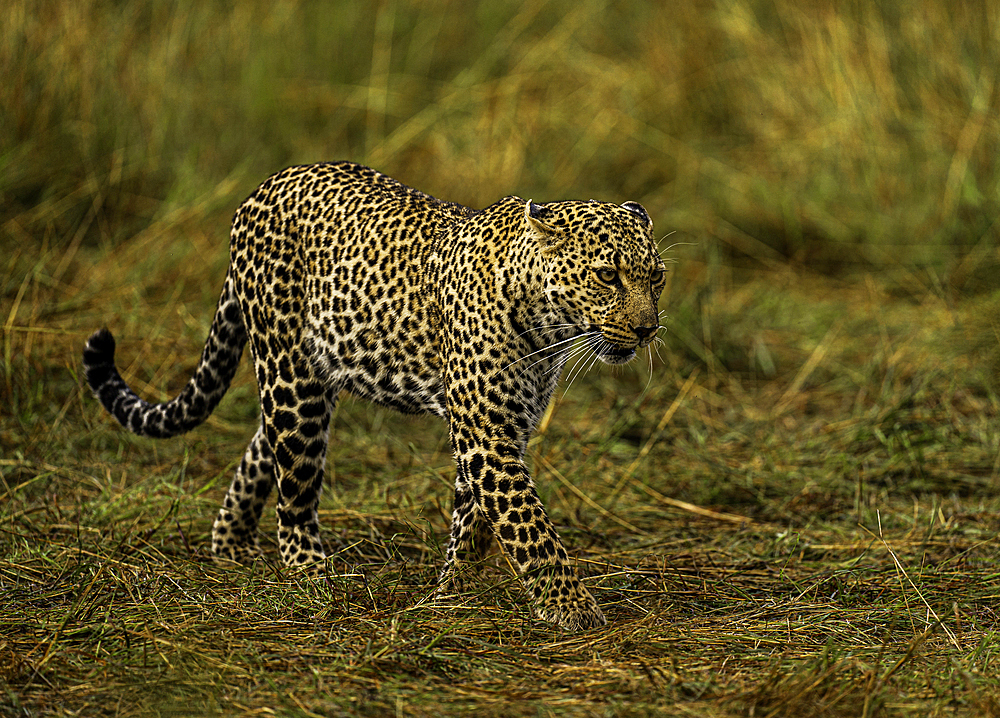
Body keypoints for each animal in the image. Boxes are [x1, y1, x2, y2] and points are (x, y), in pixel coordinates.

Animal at [86, 162, 664, 632]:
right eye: (607, 275)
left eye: (656, 276)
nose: (647, 330)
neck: (548, 329)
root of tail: (264, 186)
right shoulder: (487, 436)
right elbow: (528, 525)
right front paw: (571, 606)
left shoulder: (502, 430)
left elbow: (475, 522)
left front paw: (457, 593)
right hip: (291, 379)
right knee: (293, 494)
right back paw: (313, 576)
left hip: (309, 382)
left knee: (262, 448)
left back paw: (231, 547)